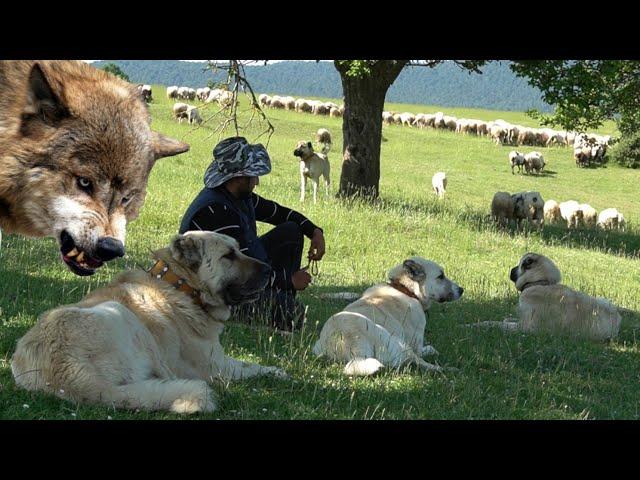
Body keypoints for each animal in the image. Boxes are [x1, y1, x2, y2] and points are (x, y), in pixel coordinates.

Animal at [11, 231, 288, 414]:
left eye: (238, 250)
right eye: (228, 256)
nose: (269, 270)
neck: (182, 287)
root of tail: (70, 379)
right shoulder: (216, 366)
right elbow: (252, 367)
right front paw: (280, 373)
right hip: (121, 314)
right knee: (169, 377)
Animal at [312, 256, 462, 376]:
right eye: (441, 276)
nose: (462, 290)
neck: (405, 289)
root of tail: (351, 342)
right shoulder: (416, 344)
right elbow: (427, 349)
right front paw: (432, 350)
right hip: (401, 345)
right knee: (419, 362)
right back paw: (449, 369)